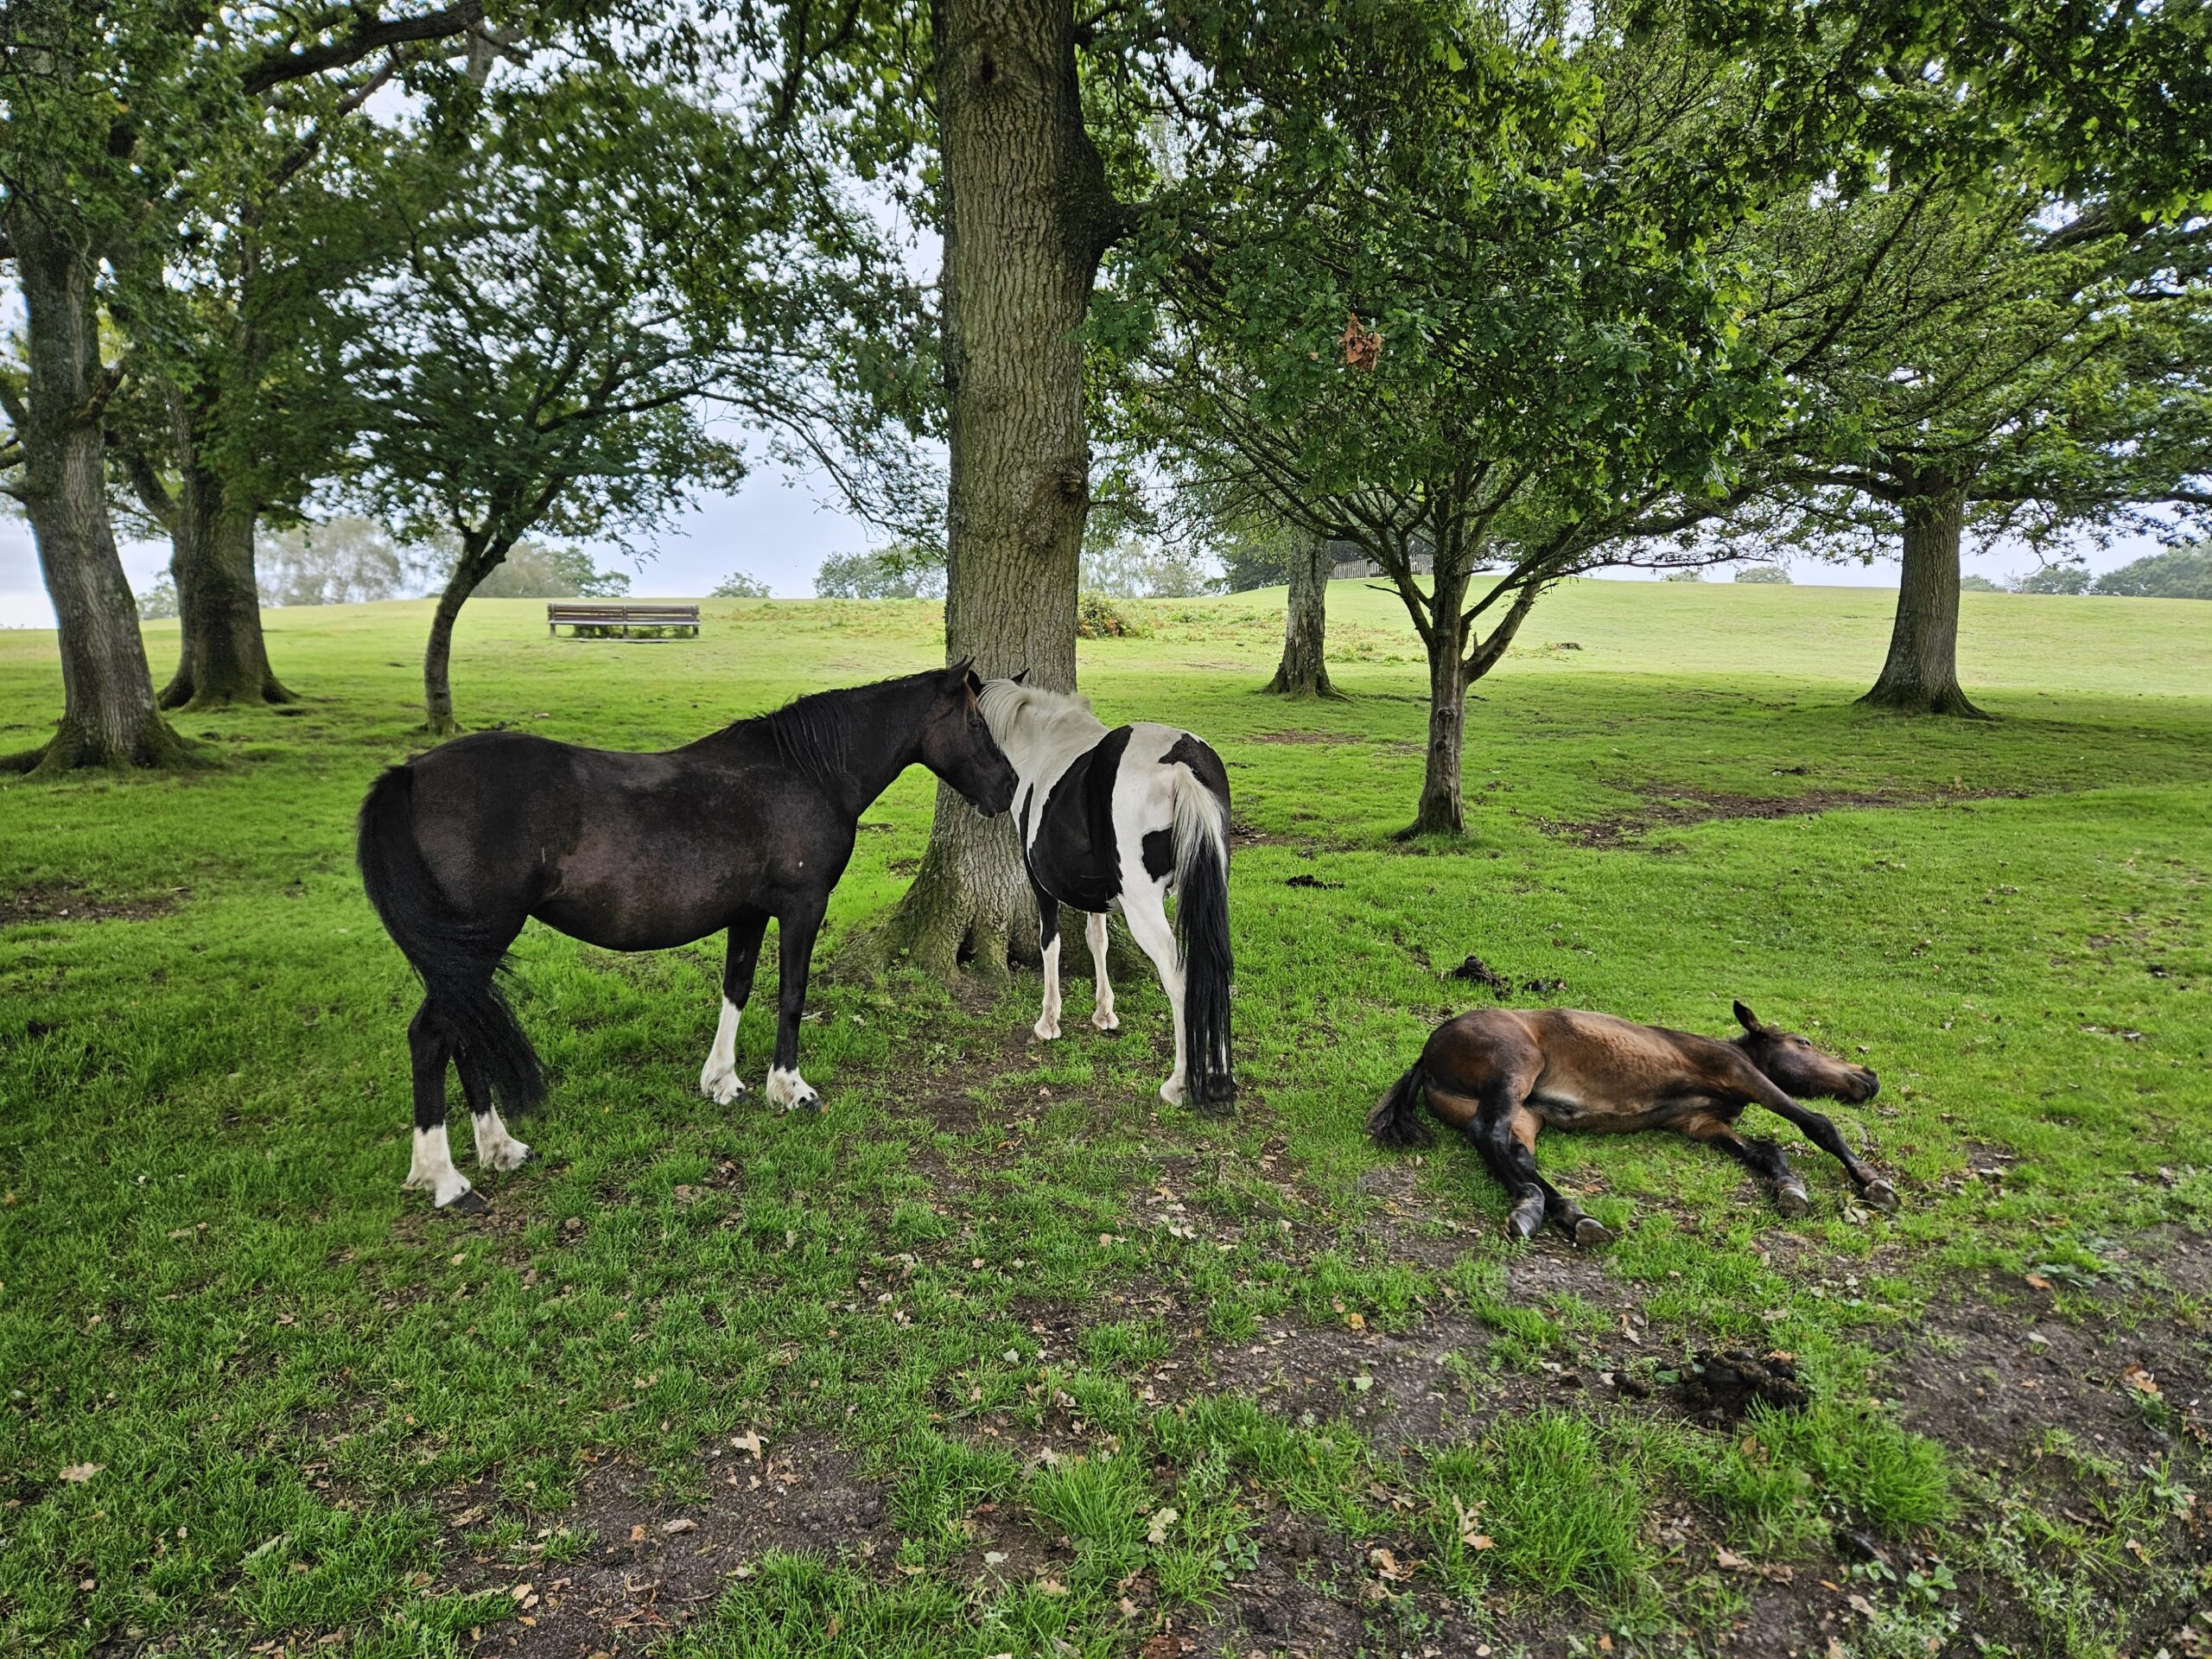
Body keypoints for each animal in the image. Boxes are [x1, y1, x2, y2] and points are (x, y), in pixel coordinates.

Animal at [358, 668, 1013, 1211]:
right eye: (977, 723)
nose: (1008, 787)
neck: (807, 771)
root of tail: (411, 774)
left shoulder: (748, 914)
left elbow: (737, 989)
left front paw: (723, 1083)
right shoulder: (803, 907)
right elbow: (792, 996)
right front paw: (790, 1089)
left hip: (465, 956)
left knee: (464, 1034)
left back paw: (501, 1149)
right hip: (476, 943)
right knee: (432, 1036)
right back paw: (447, 1181)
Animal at [977, 677, 1238, 1119]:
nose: (989, 802)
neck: (1044, 743)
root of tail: (1182, 763)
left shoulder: (1040, 885)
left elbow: (1050, 944)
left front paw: (1048, 1023)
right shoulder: (1098, 894)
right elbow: (1097, 940)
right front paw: (1104, 1014)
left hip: (1143, 906)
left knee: (1180, 975)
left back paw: (1177, 1084)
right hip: (1207, 889)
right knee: (1213, 965)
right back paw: (1218, 1078)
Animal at [1362, 1000, 1902, 1247]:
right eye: (1804, 1043)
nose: (1869, 1076)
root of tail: (1428, 1053)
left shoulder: (1700, 1123)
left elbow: (1766, 1149)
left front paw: (1791, 1189)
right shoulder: (1742, 1074)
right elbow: (1817, 1123)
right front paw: (1872, 1181)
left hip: (1526, 1114)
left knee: (1514, 1154)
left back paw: (1570, 1214)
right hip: (1515, 1069)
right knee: (1488, 1136)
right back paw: (1536, 1209)